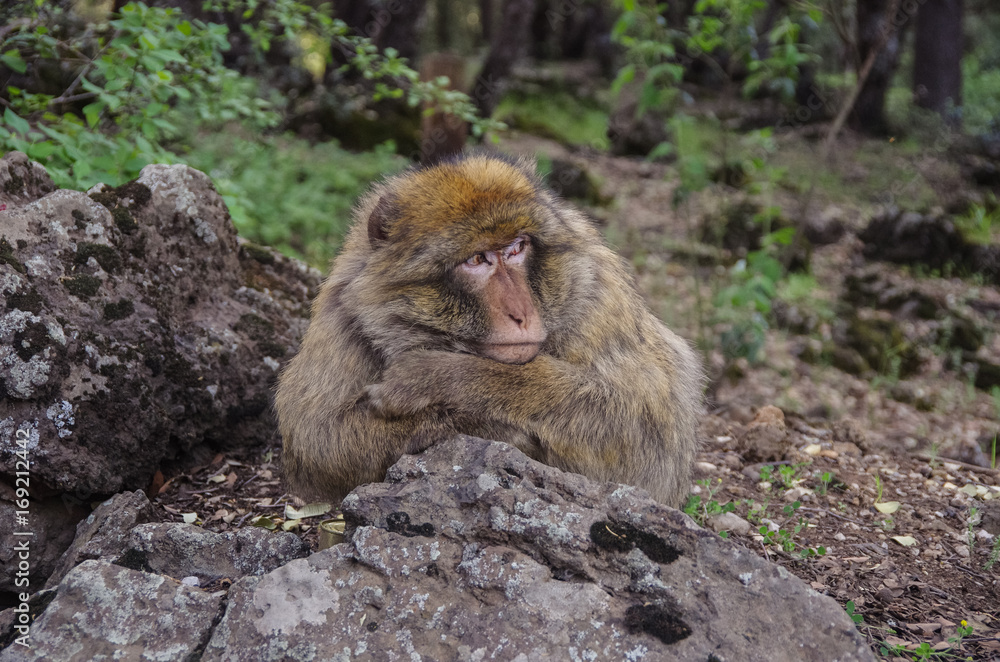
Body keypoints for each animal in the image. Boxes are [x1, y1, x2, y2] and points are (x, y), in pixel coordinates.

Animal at [276, 154, 704, 508]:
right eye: (477, 259)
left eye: (516, 247)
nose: (521, 314)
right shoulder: (343, 312)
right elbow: (317, 438)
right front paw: (478, 426)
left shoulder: (596, 292)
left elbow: (644, 428)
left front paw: (434, 376)